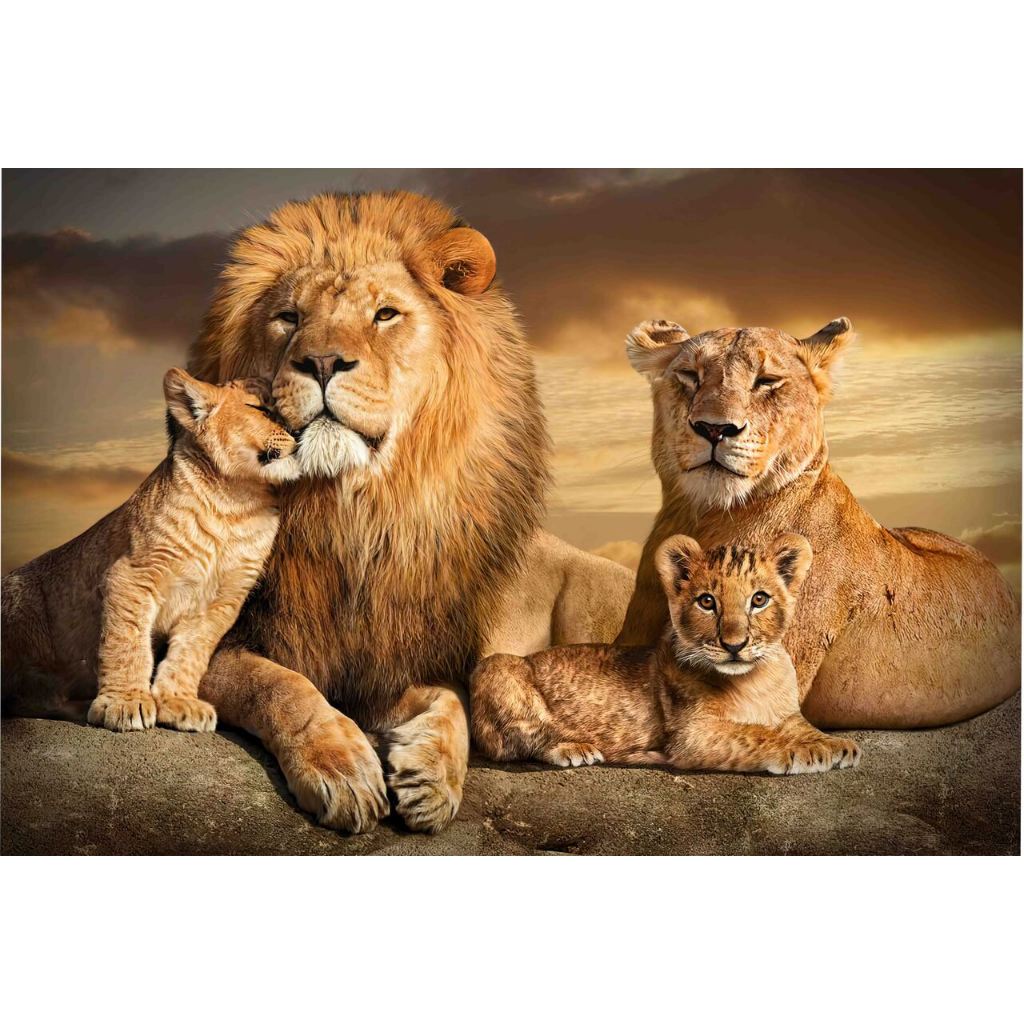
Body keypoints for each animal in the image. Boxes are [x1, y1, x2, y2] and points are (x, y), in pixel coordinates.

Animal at [184, 190, 632, 834]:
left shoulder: (405, 658)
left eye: (385, 315)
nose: (322, 362)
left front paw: (432, 781)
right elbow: (280, 686)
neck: (354, 514)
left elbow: (452, 707)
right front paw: (343, 768)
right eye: (289, 318)